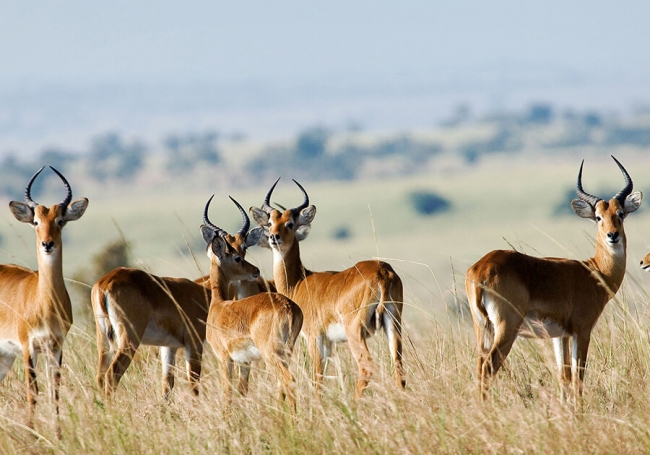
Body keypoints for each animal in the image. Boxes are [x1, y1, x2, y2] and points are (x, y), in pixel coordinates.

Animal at [0, 167, 88, 428]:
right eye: (36, 222)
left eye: (60, 221)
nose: (47, 244)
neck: (44, 303)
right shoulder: (28, 347)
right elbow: (33, 393)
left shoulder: (55, 346)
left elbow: (54, 393)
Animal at [90, 268, 208, 400]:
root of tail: (106, 282)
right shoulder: (194, 344)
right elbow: (194, 382)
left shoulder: (169, 347)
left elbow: (167, 383)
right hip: (129, 342)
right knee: (112, 373)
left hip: (104, 341)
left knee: (100, 376)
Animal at [201, 196, 302, 410]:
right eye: (237, 256)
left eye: (242, 252)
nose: (255, 270)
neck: (219, 305)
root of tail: (287, 306)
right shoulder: (244, 362)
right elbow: (242, 391)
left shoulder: (224, 359)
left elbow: (227, 395)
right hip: (286, 352)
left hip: (272, 354)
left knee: (288, 380)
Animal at [249, 179, 404, 400]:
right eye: (270, 222)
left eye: (290, 223)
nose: (273, 237)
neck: (299, 282)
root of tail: (382, 271)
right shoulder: (330, 343)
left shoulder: (315, 337)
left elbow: (317, 377)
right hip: (393, 323)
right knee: (398, 366)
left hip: (354, 331)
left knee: (366, 367)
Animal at [464, 157, 640, 402]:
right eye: (598, 217)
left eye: (620, 213)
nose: (612, 235)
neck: (594, 271)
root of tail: (481, 268)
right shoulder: (582, 331)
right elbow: (578, 376)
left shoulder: (560, 336)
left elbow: (564, 376)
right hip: (506, 328)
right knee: (488, 367)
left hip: (483, 328)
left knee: (479, 366)